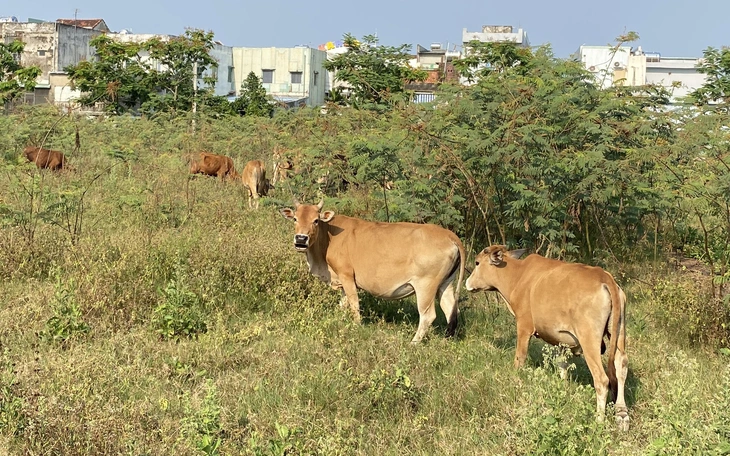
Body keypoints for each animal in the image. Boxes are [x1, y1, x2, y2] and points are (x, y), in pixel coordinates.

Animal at [276, 200, 464, 342]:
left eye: (316, 220)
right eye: (295, 219)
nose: (301, 239)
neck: (328, 235)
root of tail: (449, 235)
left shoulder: (347, 276)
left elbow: (354, 304)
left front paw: (356, 326)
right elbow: (343, 305)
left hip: (425, 286)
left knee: (428, 315)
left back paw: (414, 342)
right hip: (445, 284)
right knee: (451, 310)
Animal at [464, 244, 628, 430]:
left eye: (477, 262)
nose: (467, 282)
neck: (518, 275)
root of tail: (604, 277)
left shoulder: (524, 326)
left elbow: (520, 358)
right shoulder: (562, 341)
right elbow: (562, 366)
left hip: (589, 340)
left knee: (602, 379)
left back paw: (598, 420)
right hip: (619, 333)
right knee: (621, 367)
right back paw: (622, 415)